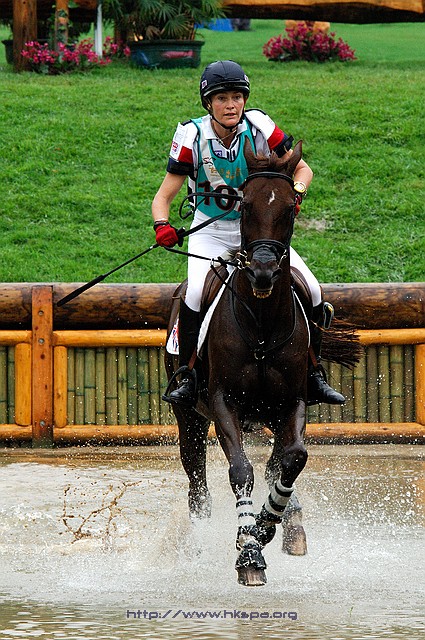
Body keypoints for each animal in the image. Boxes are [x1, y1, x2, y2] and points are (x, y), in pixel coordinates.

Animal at [164, 140, 323, 586]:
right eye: (246, 205)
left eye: (290, 207)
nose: (264, 271)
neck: (262, 327)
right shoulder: (223, 402)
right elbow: (241, 471)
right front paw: (249, 552)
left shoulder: (291, 403)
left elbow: (292, 459)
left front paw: (267, 525)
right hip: (189, 416)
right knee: (197, 484)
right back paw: (199, 543)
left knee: (275, 462)